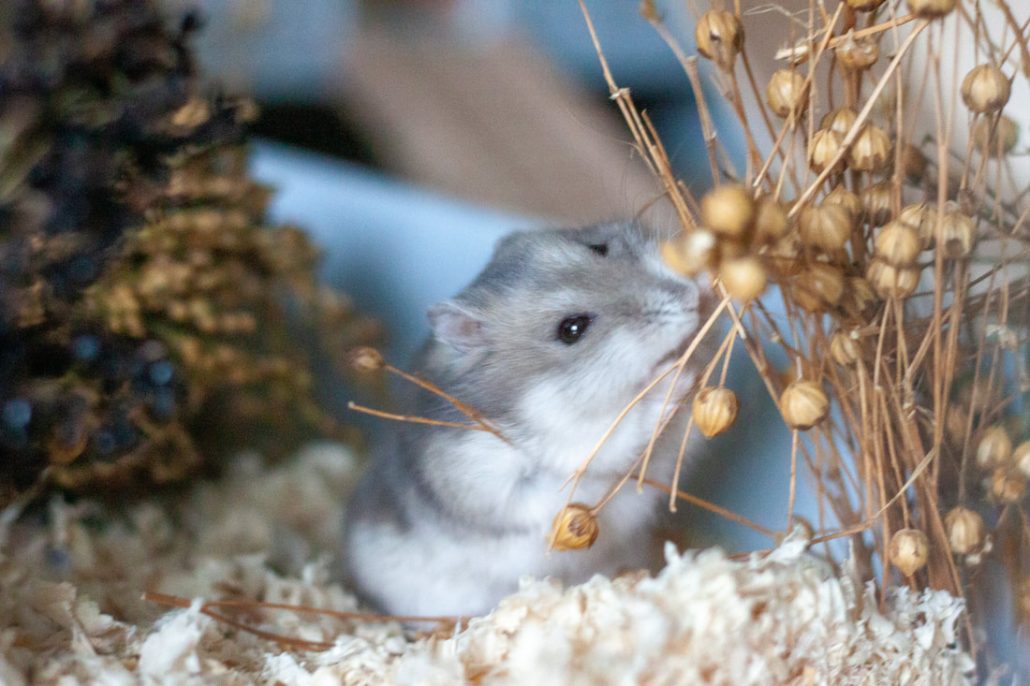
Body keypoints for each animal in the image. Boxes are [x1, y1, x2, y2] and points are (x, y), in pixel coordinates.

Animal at [343, 221, 717, 618]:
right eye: (572, 329)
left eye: (598, 248)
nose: (687, 297)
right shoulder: (557, 458)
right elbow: (619, 434)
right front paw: (672, 375)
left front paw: (708, 283)